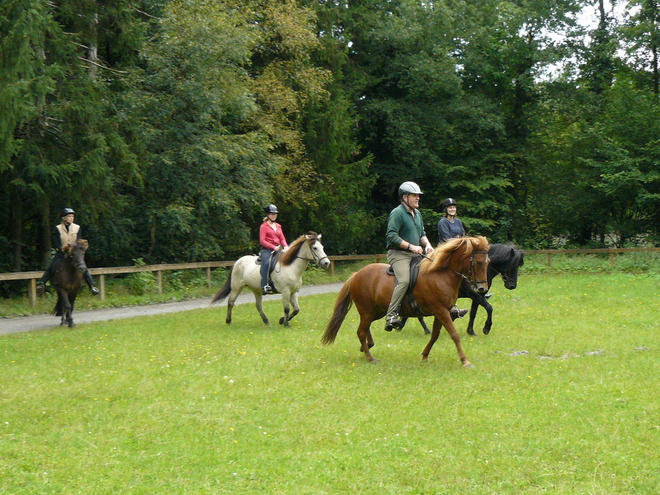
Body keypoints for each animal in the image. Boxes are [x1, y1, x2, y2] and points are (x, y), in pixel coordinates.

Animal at [320, 236, 490, 368]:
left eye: (488, 261)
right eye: (479, 262)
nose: (482, 288)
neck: (442, 274)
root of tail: (356, 274)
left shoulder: (442, 312)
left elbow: (435, 335)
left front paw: (425, 356)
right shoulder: (440, 311)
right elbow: (454, 335)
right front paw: (465, 361)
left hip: (377, 311)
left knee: (365, 328)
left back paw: (367, 346)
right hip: (367, 310)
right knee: (361, 331)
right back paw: (370, 357)